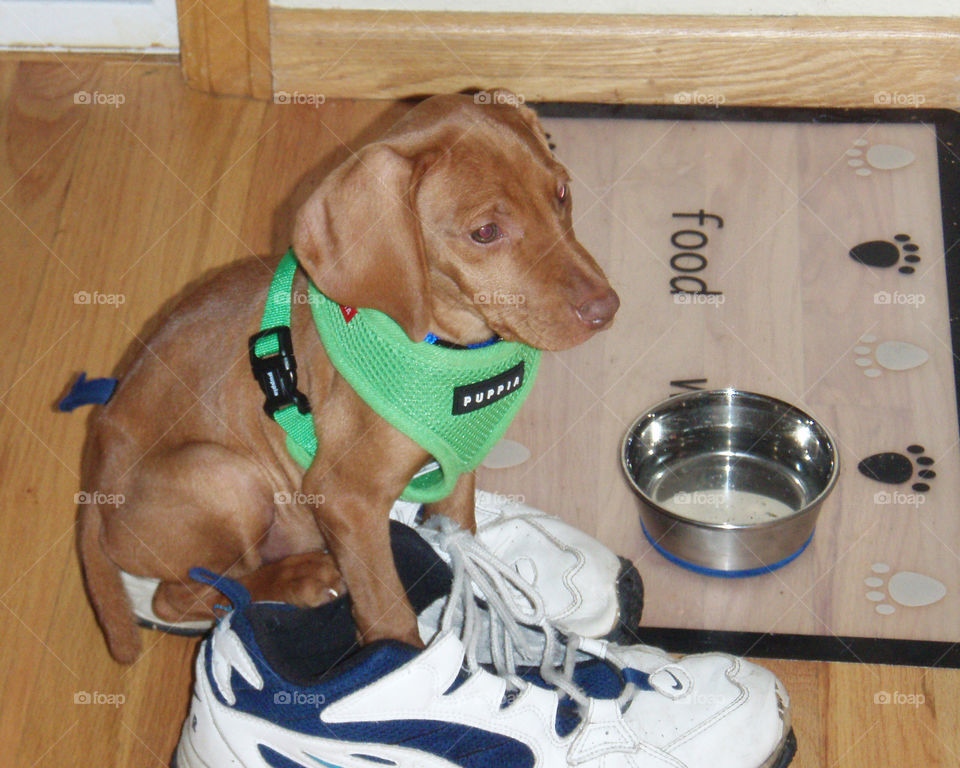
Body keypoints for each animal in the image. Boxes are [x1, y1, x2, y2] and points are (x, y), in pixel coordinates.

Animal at [82, 93, 624, 664]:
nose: (605, 309)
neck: (446, 344)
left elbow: (464, 547)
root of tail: (93, 484)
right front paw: (403, 664)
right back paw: (299, 580)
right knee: (183, 595)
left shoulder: (457, 469)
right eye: (485, 232)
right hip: (226, 476)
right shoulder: (345, 498)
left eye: (561, 193)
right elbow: (387, 610)